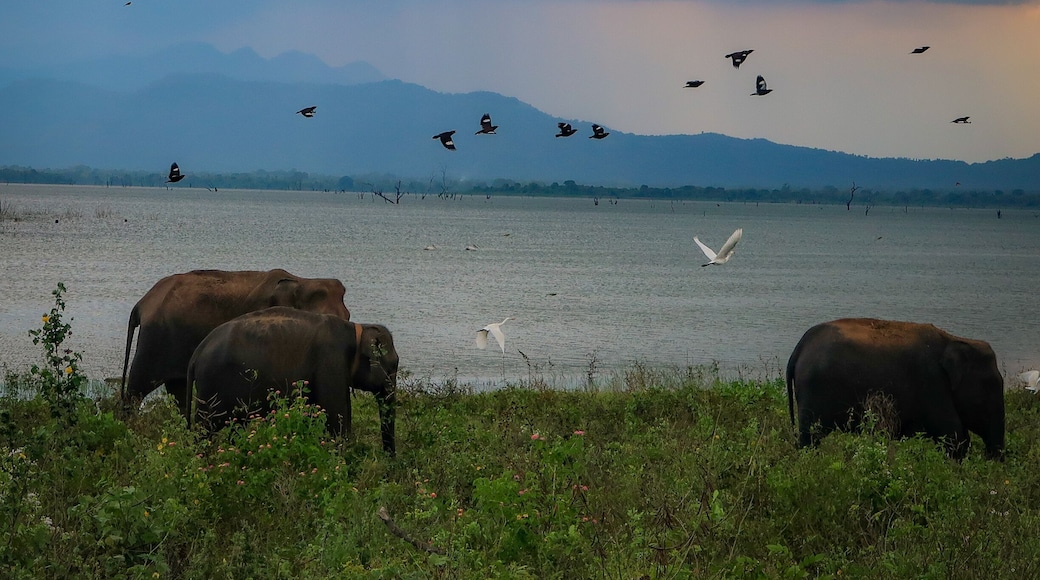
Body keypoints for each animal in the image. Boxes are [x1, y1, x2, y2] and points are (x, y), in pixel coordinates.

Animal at [120, 269, 350, 416]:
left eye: (347, 317)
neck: (301, 281)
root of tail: (142, 303)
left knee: (178, 390)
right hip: (155, 339)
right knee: (138, 388)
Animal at [186, 307, 398, 455]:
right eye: (393, 366)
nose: (389, 464)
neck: (355, 330)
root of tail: (197, 352)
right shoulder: (330, 363)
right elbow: (335, 419)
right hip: (210, 387)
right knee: (205, 429)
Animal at [786, 318, 1005, 460]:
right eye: (990, 386)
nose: (991, 460)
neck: (954, 340)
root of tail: (799, 347)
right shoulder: (932, 384)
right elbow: (954, 436)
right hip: (813, 391)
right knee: (810, 438)